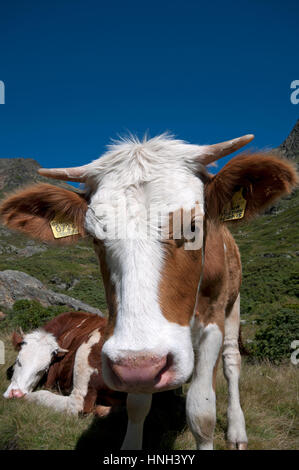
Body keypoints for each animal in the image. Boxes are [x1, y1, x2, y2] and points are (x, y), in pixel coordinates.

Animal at [0, 134, 298, 450]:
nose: (139, 365)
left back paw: (237, 431)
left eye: (193, 226)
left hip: (233, 306)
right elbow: (137, 405)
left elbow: (202, 412)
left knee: (232, 362)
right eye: (94, 238)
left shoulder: (212, 323)